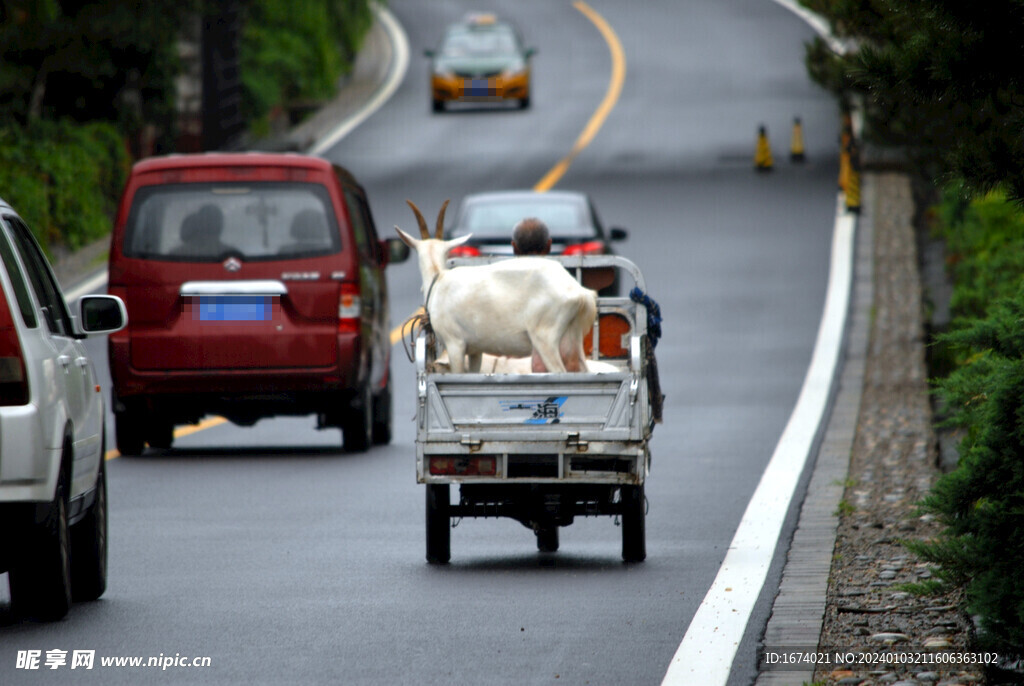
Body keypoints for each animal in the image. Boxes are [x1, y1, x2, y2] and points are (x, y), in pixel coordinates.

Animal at [395, 201, 598, 372]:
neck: (438, 280)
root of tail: (580, 292)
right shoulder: (475, 350)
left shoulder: (455, 344)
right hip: (573, 336)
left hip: (545, 337)